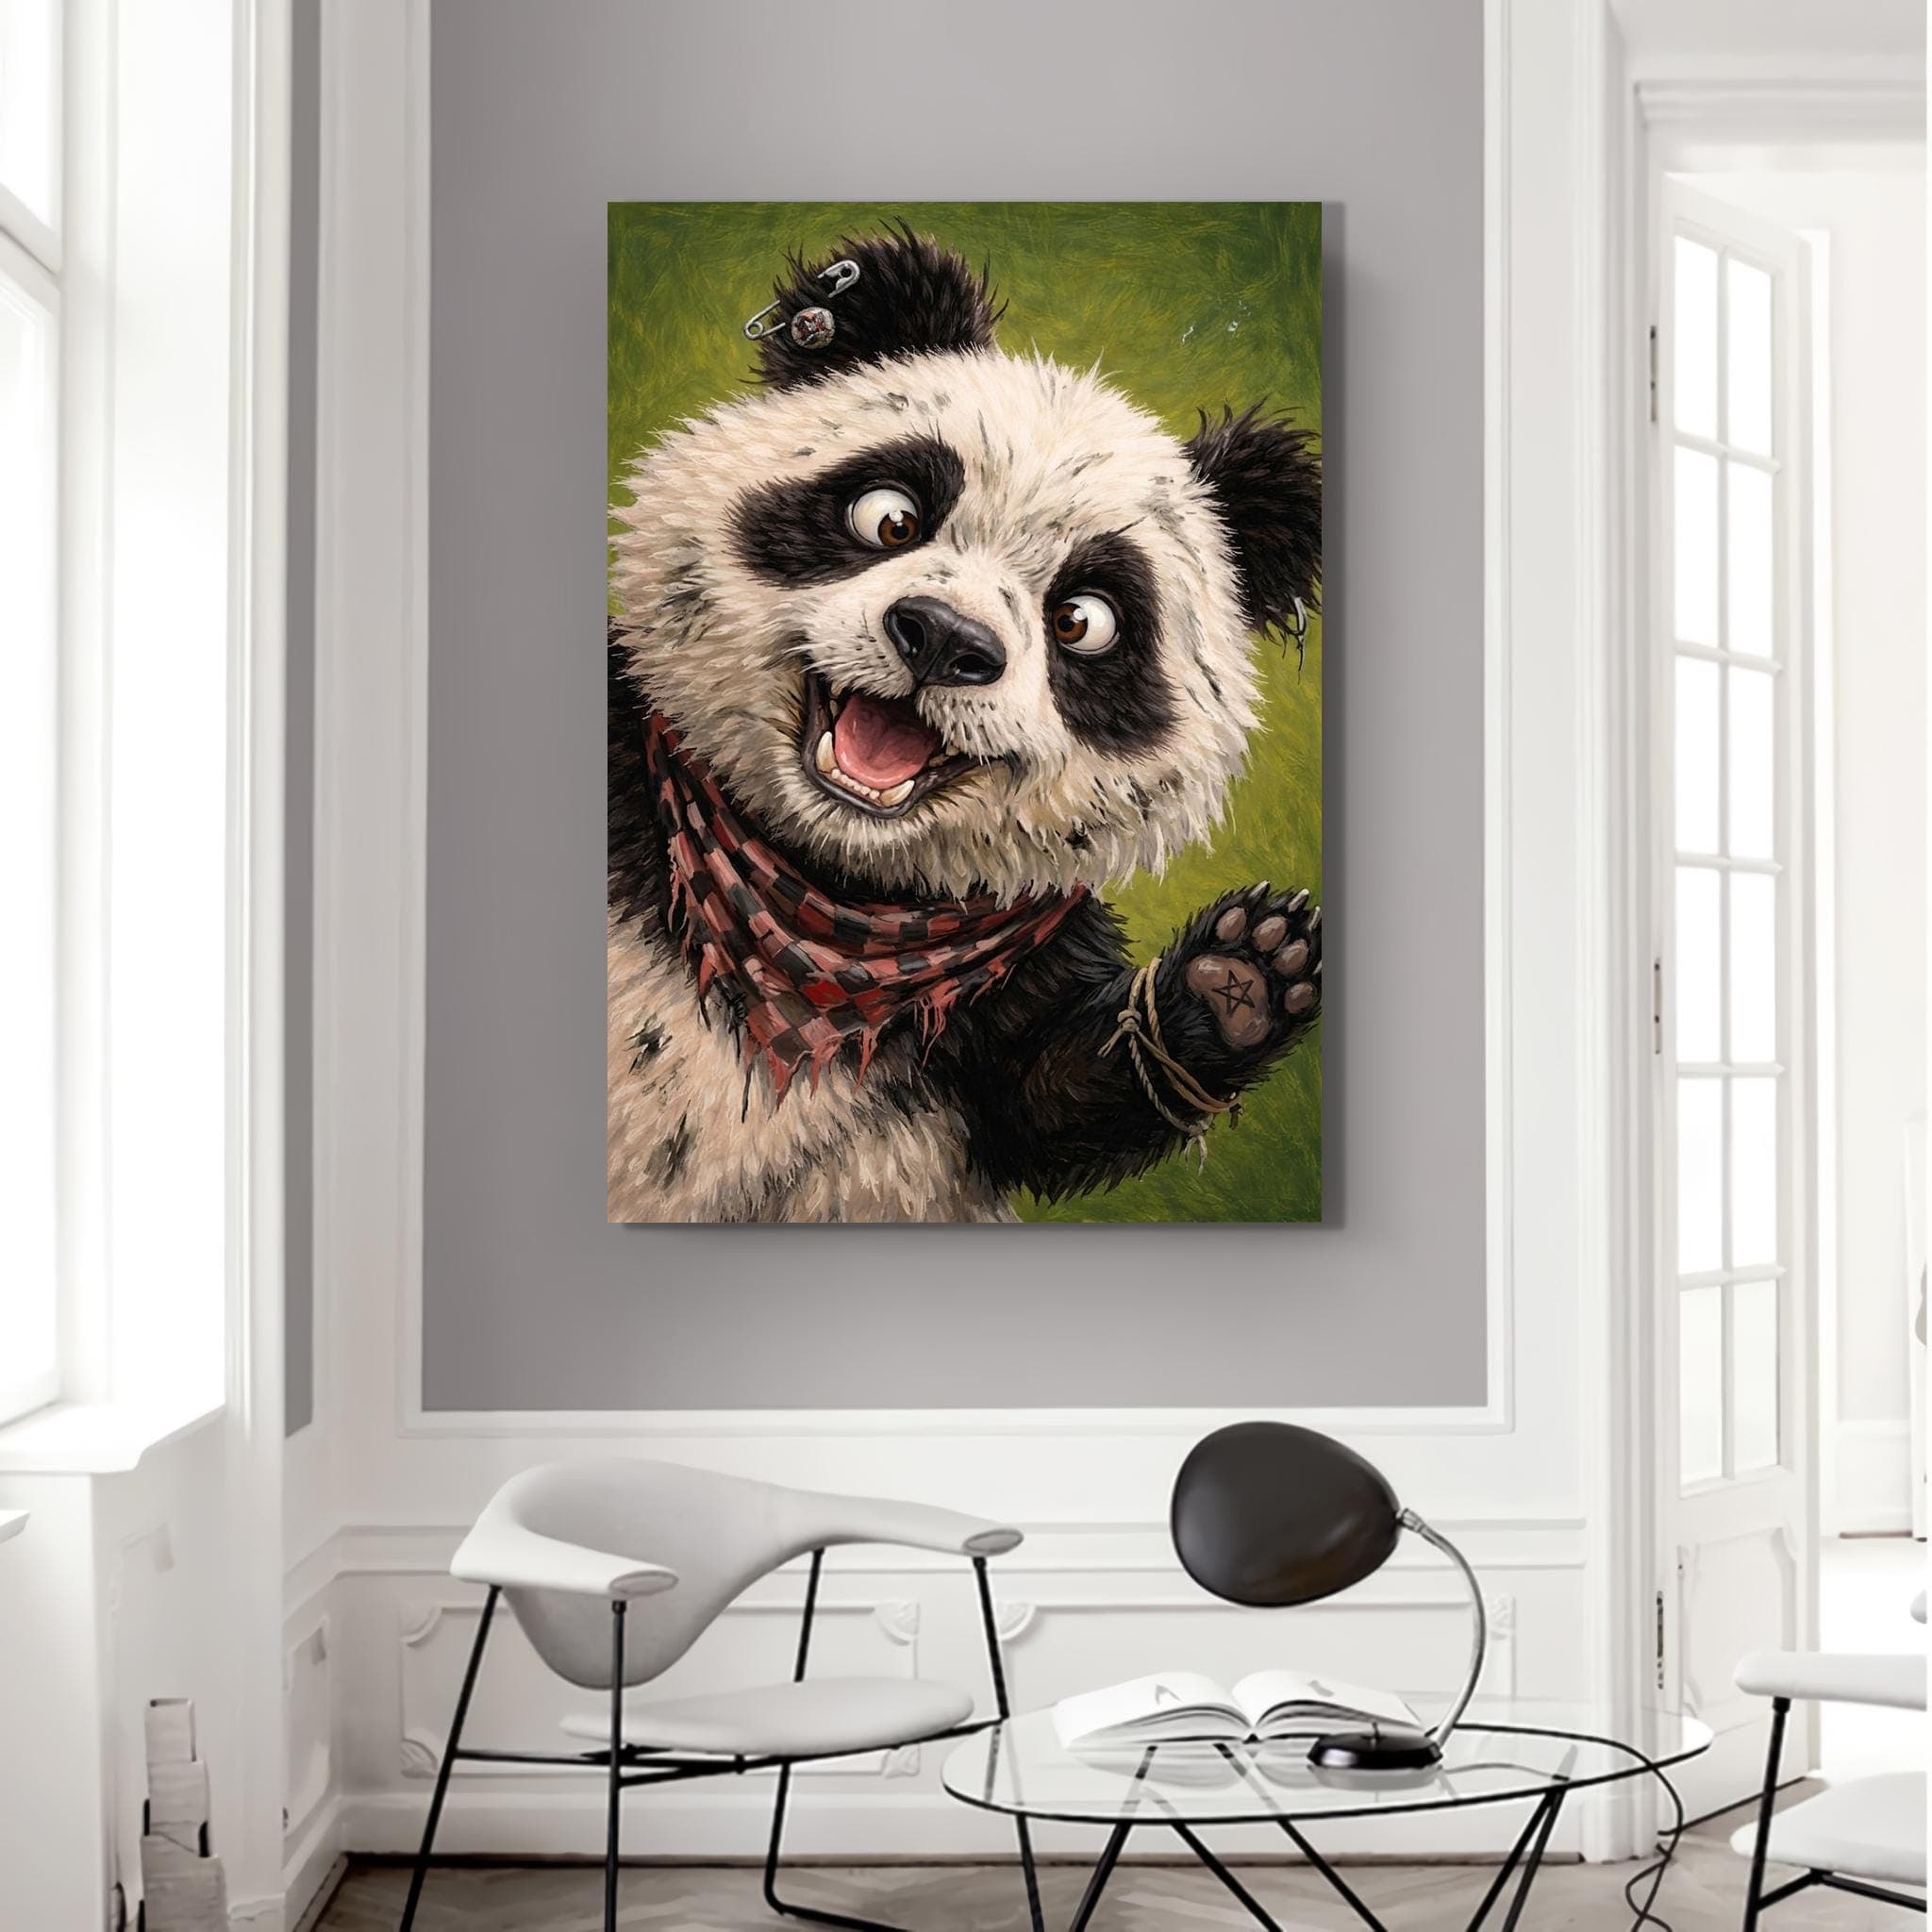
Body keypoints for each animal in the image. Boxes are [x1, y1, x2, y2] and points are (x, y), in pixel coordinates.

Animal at [608, 226, 1323, 1224]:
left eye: (1084, 619)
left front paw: (1243, 976)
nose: (945, 638)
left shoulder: (1008, 990)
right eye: (890, 516)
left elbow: (1049, 1104)